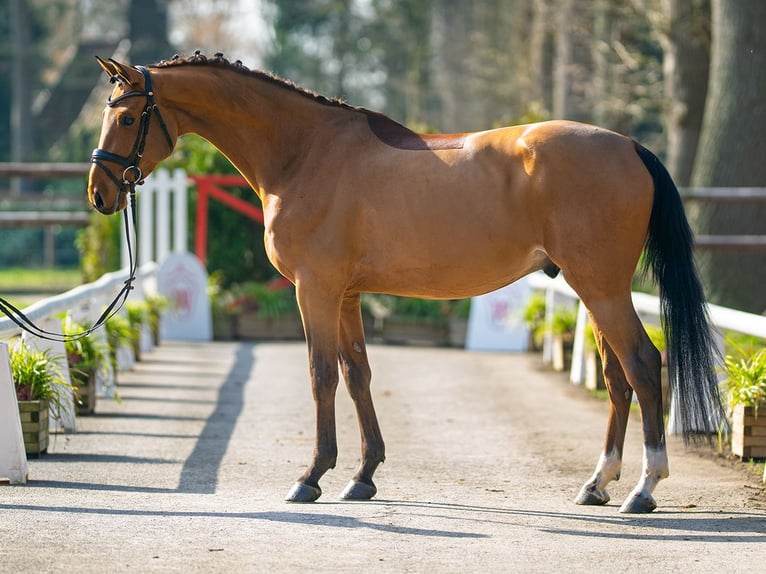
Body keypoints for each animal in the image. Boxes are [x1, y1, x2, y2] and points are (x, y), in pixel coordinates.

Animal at [87, 52, 725, 514]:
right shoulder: (346, 294)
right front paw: (363, 476)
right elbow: (357, 374)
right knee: (617, 379)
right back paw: (598, 484)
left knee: (643, 365)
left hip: (603, 289)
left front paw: (311, 477)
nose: (100, 193)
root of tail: (630, 146)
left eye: (127, 117)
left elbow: (321, 375)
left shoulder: (315, 289)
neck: (306, 152)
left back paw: (644, 489)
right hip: (591, 292)